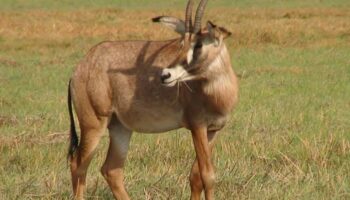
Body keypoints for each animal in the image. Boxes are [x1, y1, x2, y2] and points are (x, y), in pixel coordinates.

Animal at [67, 0, 238, 198]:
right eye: (182, 43)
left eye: (199, 45)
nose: (165, 75)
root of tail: (81, 67)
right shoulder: (197, 127)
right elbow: (207, 176)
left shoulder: (213, 130)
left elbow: (196, 177)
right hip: (94, 125)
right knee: (78, 165)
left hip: (120, 128)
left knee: (111, 169)